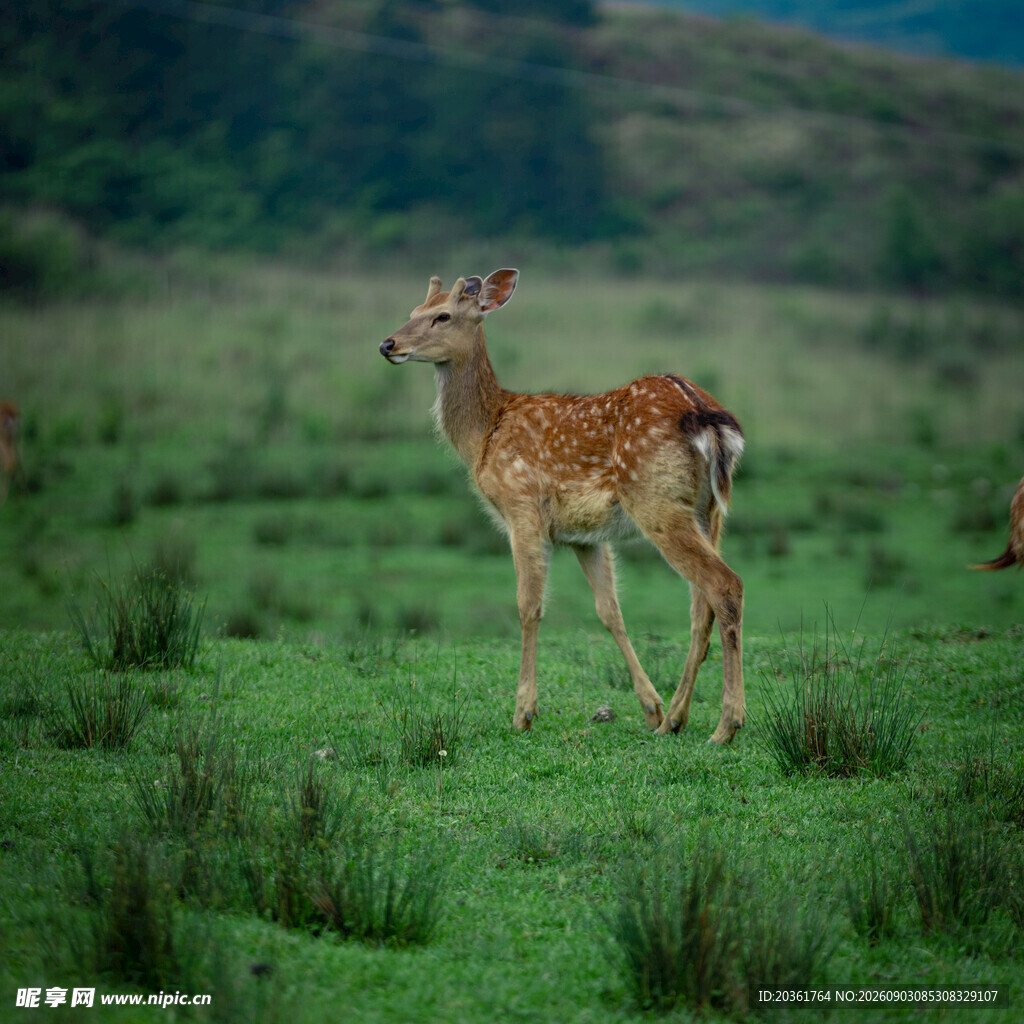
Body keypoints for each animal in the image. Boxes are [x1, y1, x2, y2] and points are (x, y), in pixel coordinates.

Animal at [379, 270, 745, 744]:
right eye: (413, 310)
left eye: (442, 315)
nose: (388, 344)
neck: (484, 434)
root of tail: (706, 416)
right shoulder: (583, 535)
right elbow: (610, 611)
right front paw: (651, 708)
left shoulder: (521, 507)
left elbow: (528, 606)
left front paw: (523, 713)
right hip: (710, 510)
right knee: (701, 606)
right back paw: (675, 719)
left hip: (657, 500)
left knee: (725, 585)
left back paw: (726, 725)